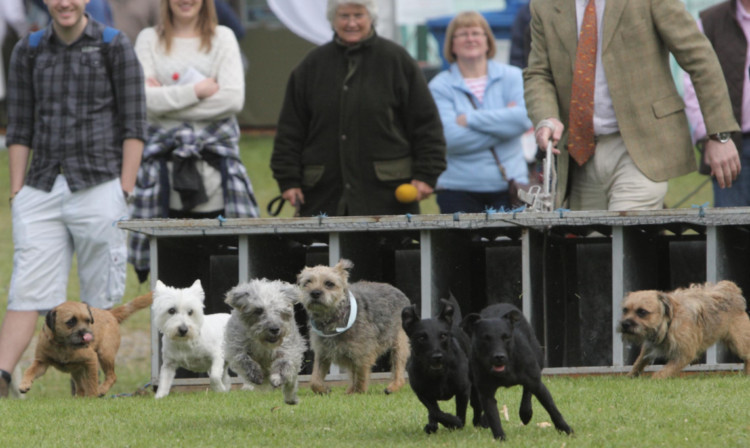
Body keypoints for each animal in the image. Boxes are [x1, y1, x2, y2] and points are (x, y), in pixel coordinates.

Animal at [406, 298, 482, 434]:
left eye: (443, 335)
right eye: (421, 338)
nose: (437, 356)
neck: (439, 375)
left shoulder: (463, 389)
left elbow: (460, 411)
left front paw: (457, 423)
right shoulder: (422, 393)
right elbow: (435, 411)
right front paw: (450, 422)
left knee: (477, 403)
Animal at [462, 302, 572, 440]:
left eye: (506, 337)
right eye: (486, 338)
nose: (499, 356)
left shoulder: (536, 383)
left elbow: (551, 408)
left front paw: (566, 429)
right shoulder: (486, 392)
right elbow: (493, 416)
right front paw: (500, 438)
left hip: (537, 362)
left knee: (527, 392)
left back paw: (526, 413)